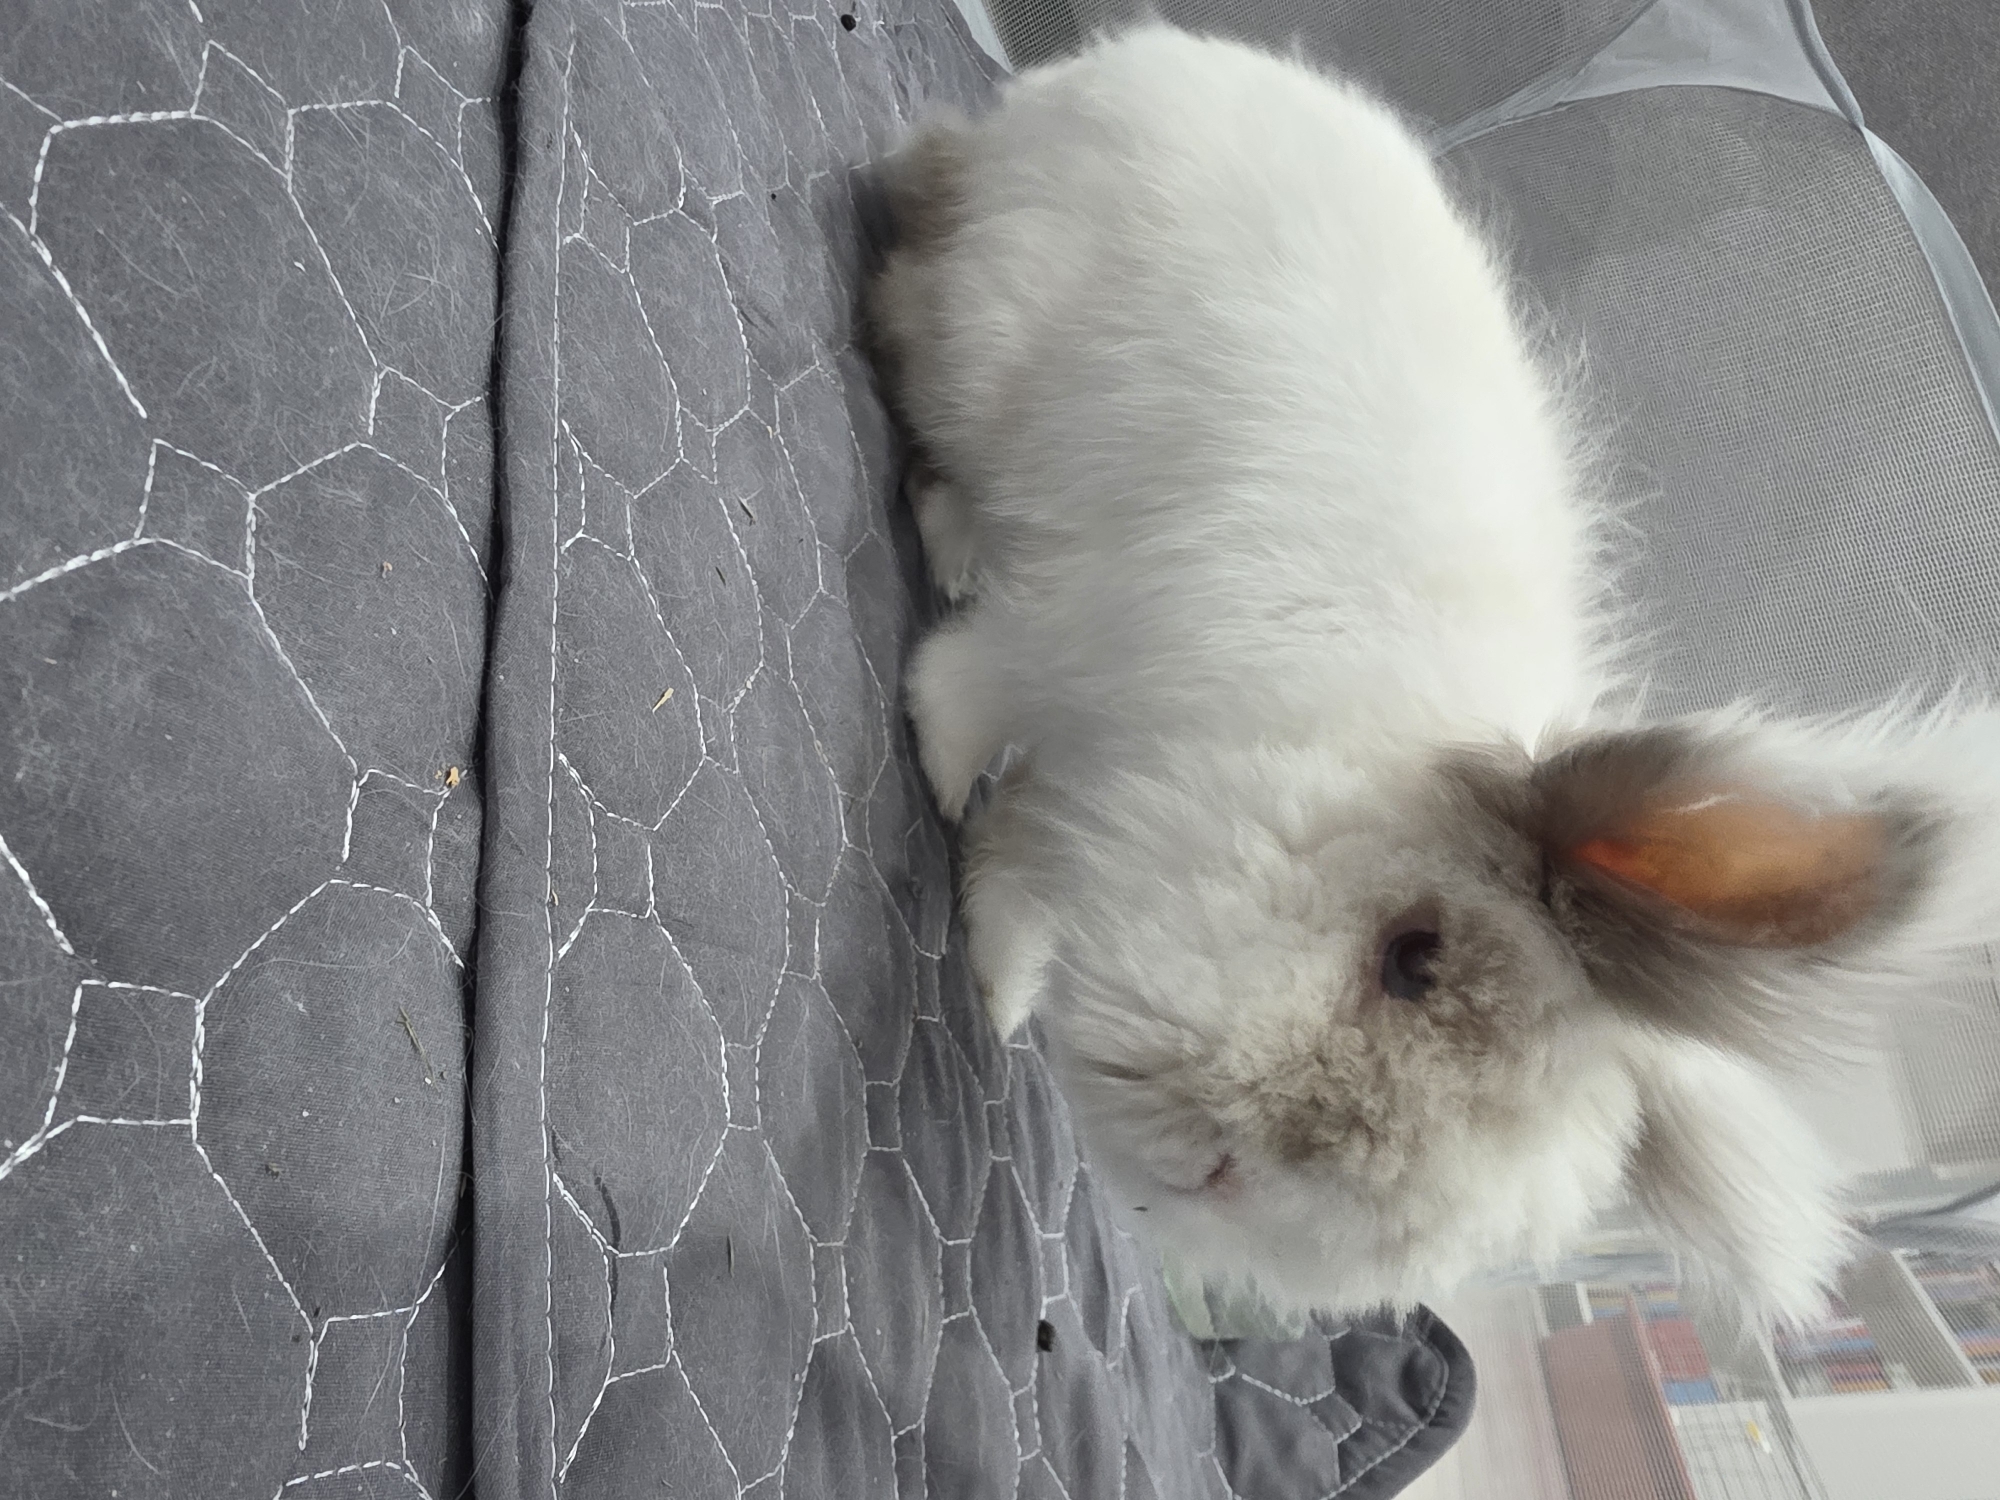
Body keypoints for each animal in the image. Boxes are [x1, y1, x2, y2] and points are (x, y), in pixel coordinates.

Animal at [865, 25, 2000, 1323]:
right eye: (1412, 958)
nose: (1222, 1167)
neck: (1355, 745)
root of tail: (1149, 54)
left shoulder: (1098, 800)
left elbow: (1016, 872)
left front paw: (994, 993)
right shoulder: (1071, 637)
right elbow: (967, 691)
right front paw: (936, 774)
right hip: (992, 321)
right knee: (903, 293)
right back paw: (946, 525)